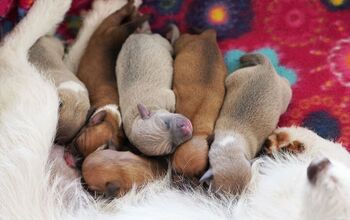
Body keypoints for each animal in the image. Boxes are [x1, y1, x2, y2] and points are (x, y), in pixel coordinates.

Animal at [73, 0, 147, 158]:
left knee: (129, 15)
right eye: (77, 141)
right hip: (110, 23)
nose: (72, 158)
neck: (111, 114)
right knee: (125, 12)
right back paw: (135, 8)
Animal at [117, 26, 194, 156]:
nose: (186, 128)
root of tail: (135, 36)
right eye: (171, 147)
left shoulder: (168, 97)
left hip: (159, 41)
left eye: (165, 124)